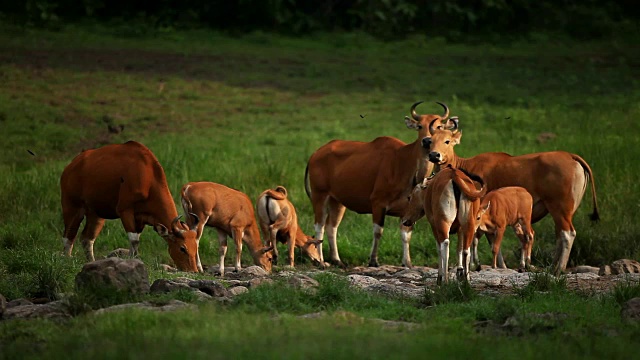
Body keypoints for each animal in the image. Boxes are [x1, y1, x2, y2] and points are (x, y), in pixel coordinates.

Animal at [60, 142, 200, 272]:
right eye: (182, 248)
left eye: (196, 247)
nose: (193, 270)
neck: (147, 176)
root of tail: (69, 167)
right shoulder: (125, 211)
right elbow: (134, 240)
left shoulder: (140, 218)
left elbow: (136, 240)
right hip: (72, 207)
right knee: (68, 236)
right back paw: (66, 261)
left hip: (96, 214)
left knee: (86, 239)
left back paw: (92, 263)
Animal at [304, 100, 456, 268]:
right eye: (419, 126)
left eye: (439, 127)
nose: (427, 141)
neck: (406, 163)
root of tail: (316, 153)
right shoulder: (378, 203)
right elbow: (378, 232)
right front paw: (373, 260)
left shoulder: (407, 209)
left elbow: (406, 234)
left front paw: (407, 262)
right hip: (319, 194)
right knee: (319, 226)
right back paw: (321, 261)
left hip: (337, 200)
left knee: (332, 226)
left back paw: (337, 259)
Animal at [420, 102, 600, 274]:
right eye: (431, 141)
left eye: (447, 141)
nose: (434, 155)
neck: (465, 166)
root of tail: (571, 156)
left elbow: (485, 239)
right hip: (565, 210)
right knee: (559, 234)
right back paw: (552, 265)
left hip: (559, 207)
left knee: (567, 234)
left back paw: (559, 268)